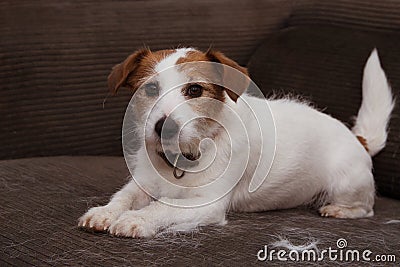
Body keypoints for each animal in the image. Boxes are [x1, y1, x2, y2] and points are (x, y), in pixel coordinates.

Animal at [78, 47, 394, 239]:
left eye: (195, 90)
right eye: (151, 88)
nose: (163, 128)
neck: (185, 157)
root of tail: (357, 138)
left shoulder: (206, 204)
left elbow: (163, 206)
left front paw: (138, 219)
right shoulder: (142, 184)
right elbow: (123, 198)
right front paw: (105, 213)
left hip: (347, 184)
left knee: (366, 208)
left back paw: (338, 210)